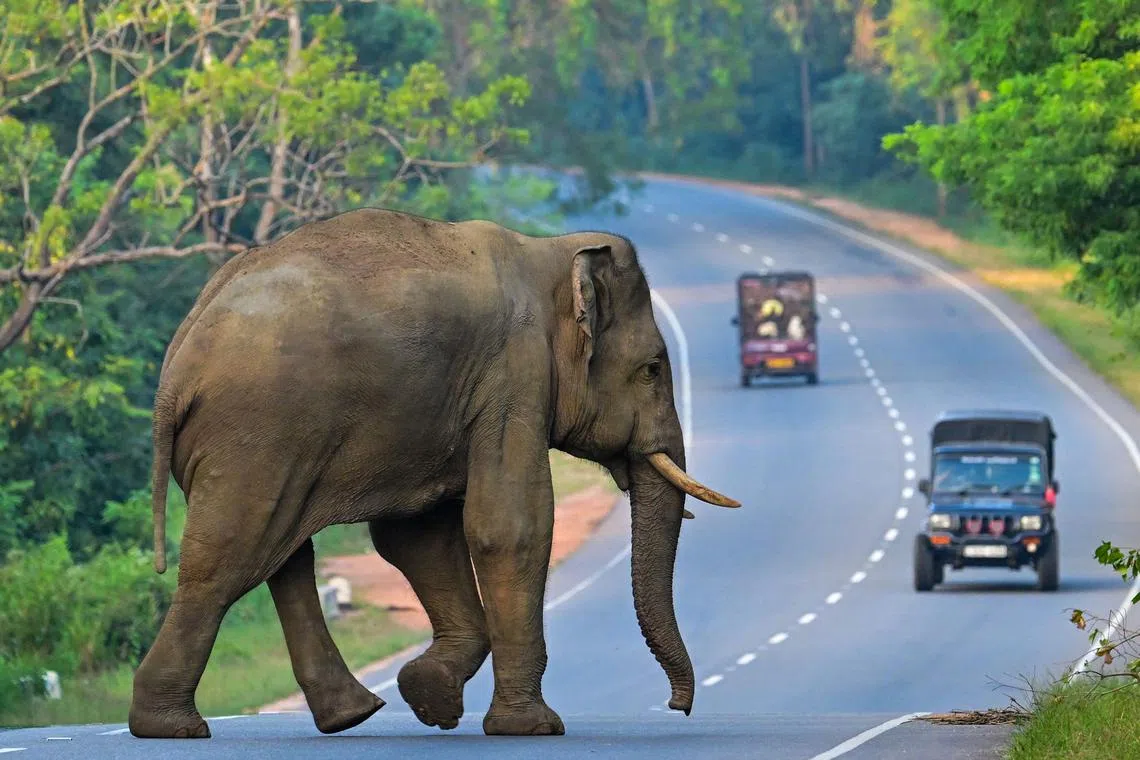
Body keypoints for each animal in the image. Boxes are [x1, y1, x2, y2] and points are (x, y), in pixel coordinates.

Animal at [128, 207, 740, 740]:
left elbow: (418, 537)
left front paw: (429, 698)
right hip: (257, 432)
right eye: (652, 369)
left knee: (282, 554)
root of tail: (176, 366)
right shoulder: (514, 374)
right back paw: (173, 727)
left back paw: (350, 715)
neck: (548, 255)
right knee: (230, 559)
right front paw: (532, 728)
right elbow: (509, 526)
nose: (677, 707)